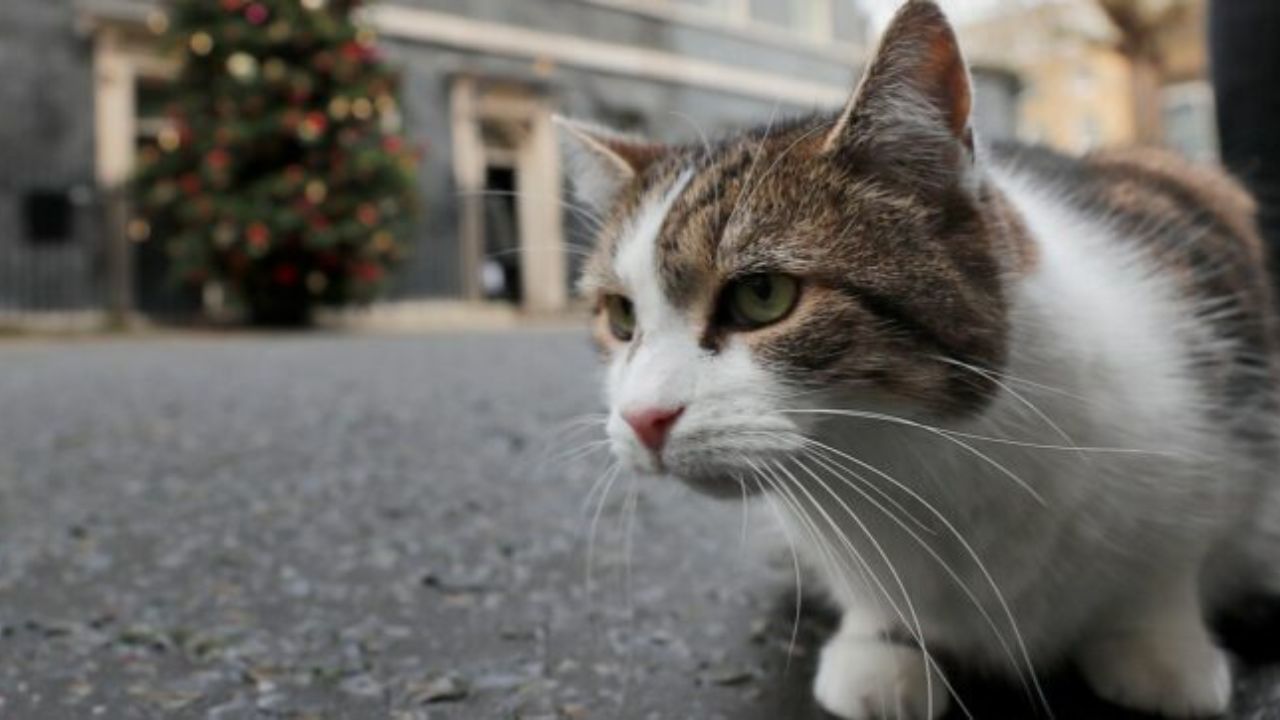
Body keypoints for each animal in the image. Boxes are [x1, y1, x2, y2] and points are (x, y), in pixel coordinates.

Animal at [555, 2, 1274, 712]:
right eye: (621, 317)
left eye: (762, 295)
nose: (643, 418)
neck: (912, 459)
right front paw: (883, 643)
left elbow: (1170, 562)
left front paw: (1160, 647)